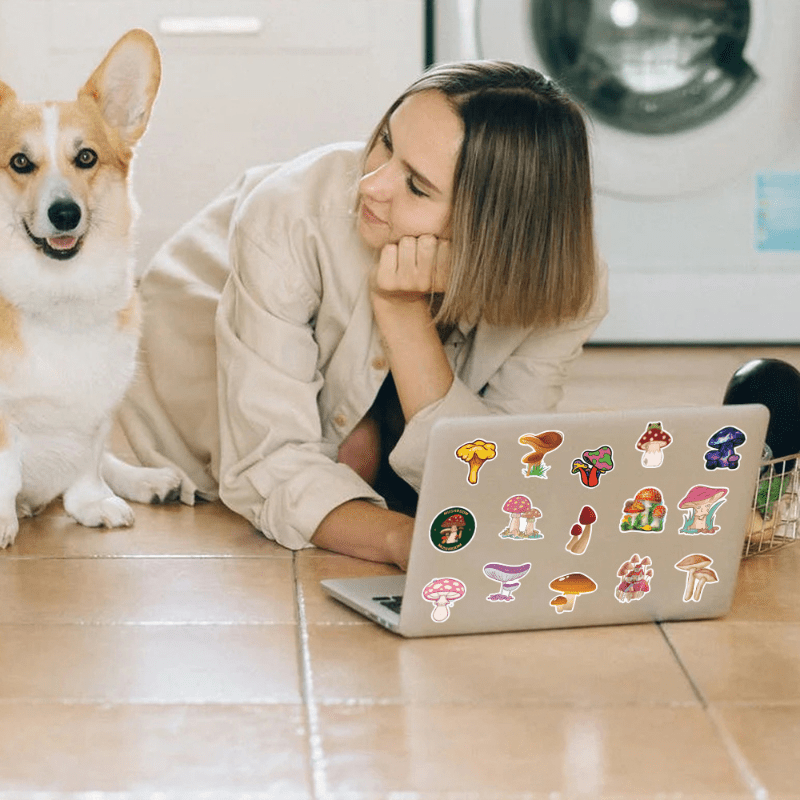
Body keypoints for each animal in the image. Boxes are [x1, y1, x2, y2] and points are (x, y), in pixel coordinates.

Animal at [0, 28, 181, 548]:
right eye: (20, 162)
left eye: (86, 158)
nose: (65, 213)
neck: (62, 298)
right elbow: (6, 474)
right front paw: (3, 520)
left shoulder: (100, 406)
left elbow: (90, 460)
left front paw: (93, 503)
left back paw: (148, 480)